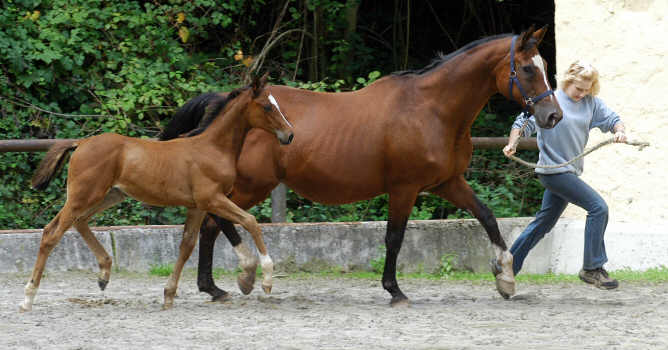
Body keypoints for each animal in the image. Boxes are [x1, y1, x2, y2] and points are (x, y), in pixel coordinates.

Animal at [20, 74, 292, 312]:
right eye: (268, 106)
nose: (289, 135)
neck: (212, 148)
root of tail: (81, 143)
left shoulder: (197, 206)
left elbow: (186, 245)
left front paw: (169, 295)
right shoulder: (212, 199)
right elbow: (251, 221)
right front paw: (266, 280)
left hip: (109, 195)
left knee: (79, 222)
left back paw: (104, 273)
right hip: (83, 195)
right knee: (51, 233)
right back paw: (28, 298)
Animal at [164, 26, 560, 304]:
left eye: (544, 67)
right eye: (528, 68)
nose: (552, 115)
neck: (432, 110)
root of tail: (226, 102)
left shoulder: (447, 182)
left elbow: (487, 217)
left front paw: (505, 279)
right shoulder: (404, 188)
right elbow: (394, 237)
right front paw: (395, 291)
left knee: (211, 226)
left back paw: (215, 288)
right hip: (250, 185)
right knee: (218, 222)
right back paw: (243, 275)